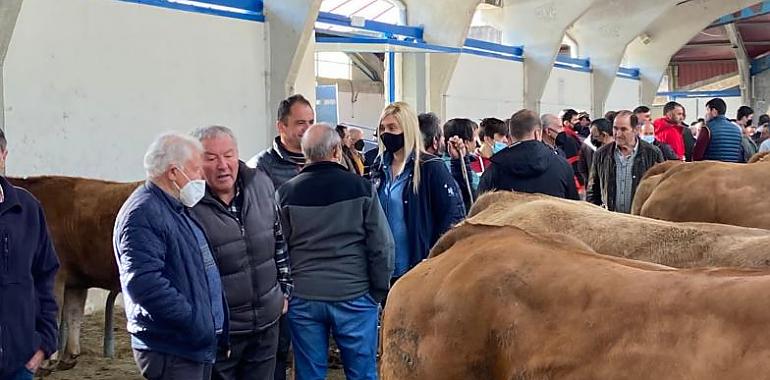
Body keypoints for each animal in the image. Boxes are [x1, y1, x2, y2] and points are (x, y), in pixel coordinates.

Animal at [7, 177, 139, 370]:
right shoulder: (76, 282)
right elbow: (74, 312)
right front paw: (69, 356)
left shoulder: (54, 275)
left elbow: (54, 313)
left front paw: (46, 361)